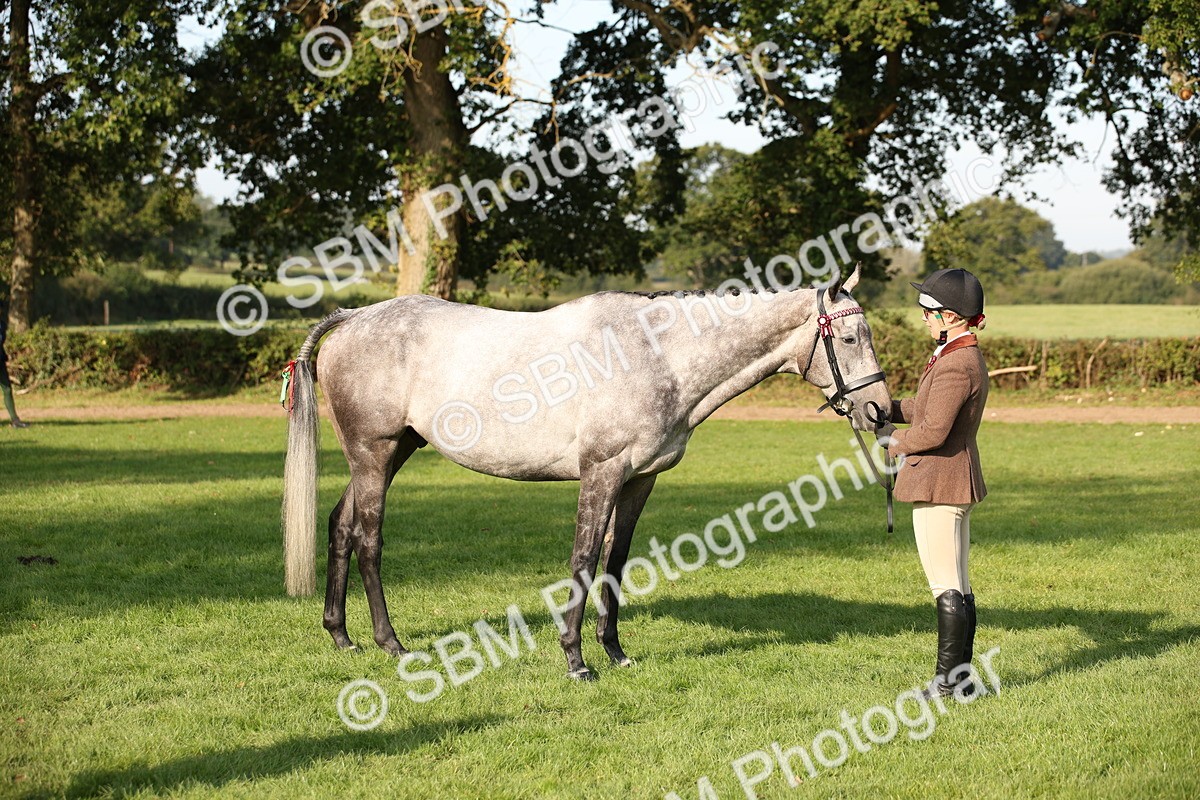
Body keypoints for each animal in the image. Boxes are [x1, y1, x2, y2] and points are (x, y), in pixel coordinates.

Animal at [281, 264, 892, 679]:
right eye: (848, 338)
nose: (881, 410)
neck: (658, 355)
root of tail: (352, 318)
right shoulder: (602, 472)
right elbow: (584, 558)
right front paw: (576, 660)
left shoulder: (640, 479)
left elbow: (617, 562)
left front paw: (615, 651)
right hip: (375, 454)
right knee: (368, 538)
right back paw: (391, 644)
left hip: (388, 454)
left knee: (340, 525)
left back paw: (341, 637)